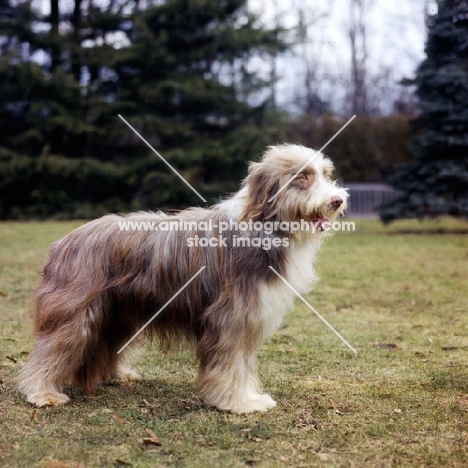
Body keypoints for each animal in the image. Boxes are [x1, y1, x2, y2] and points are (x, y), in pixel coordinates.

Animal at [18, 144, 348, 414]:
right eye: (302, 177)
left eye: (326, 174)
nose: (337, 201)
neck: (263, 226)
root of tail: (63, 241)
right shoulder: (230, 316)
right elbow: (231, 363)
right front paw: (239, 402)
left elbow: (242, 363)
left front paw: (247, 397)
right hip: (76, 312)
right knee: (52, 348)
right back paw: (42, 392)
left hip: (119, 312)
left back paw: (116, 375)